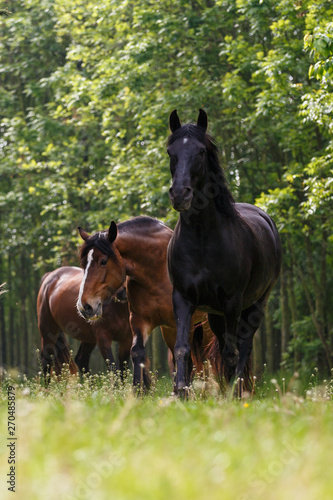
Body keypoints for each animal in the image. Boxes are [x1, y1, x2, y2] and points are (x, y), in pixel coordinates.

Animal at [166, 109, 280, 394]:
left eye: (201, 151)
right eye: (170, 151)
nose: (180, 194)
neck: (202, 239)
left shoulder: (232, 301)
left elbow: (231, 352)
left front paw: (232, 394)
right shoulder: (183, 298)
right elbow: (182, 348)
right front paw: (181, 392)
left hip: (255, 306)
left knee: (243, 347)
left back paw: (238, 388)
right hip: (215, 314)